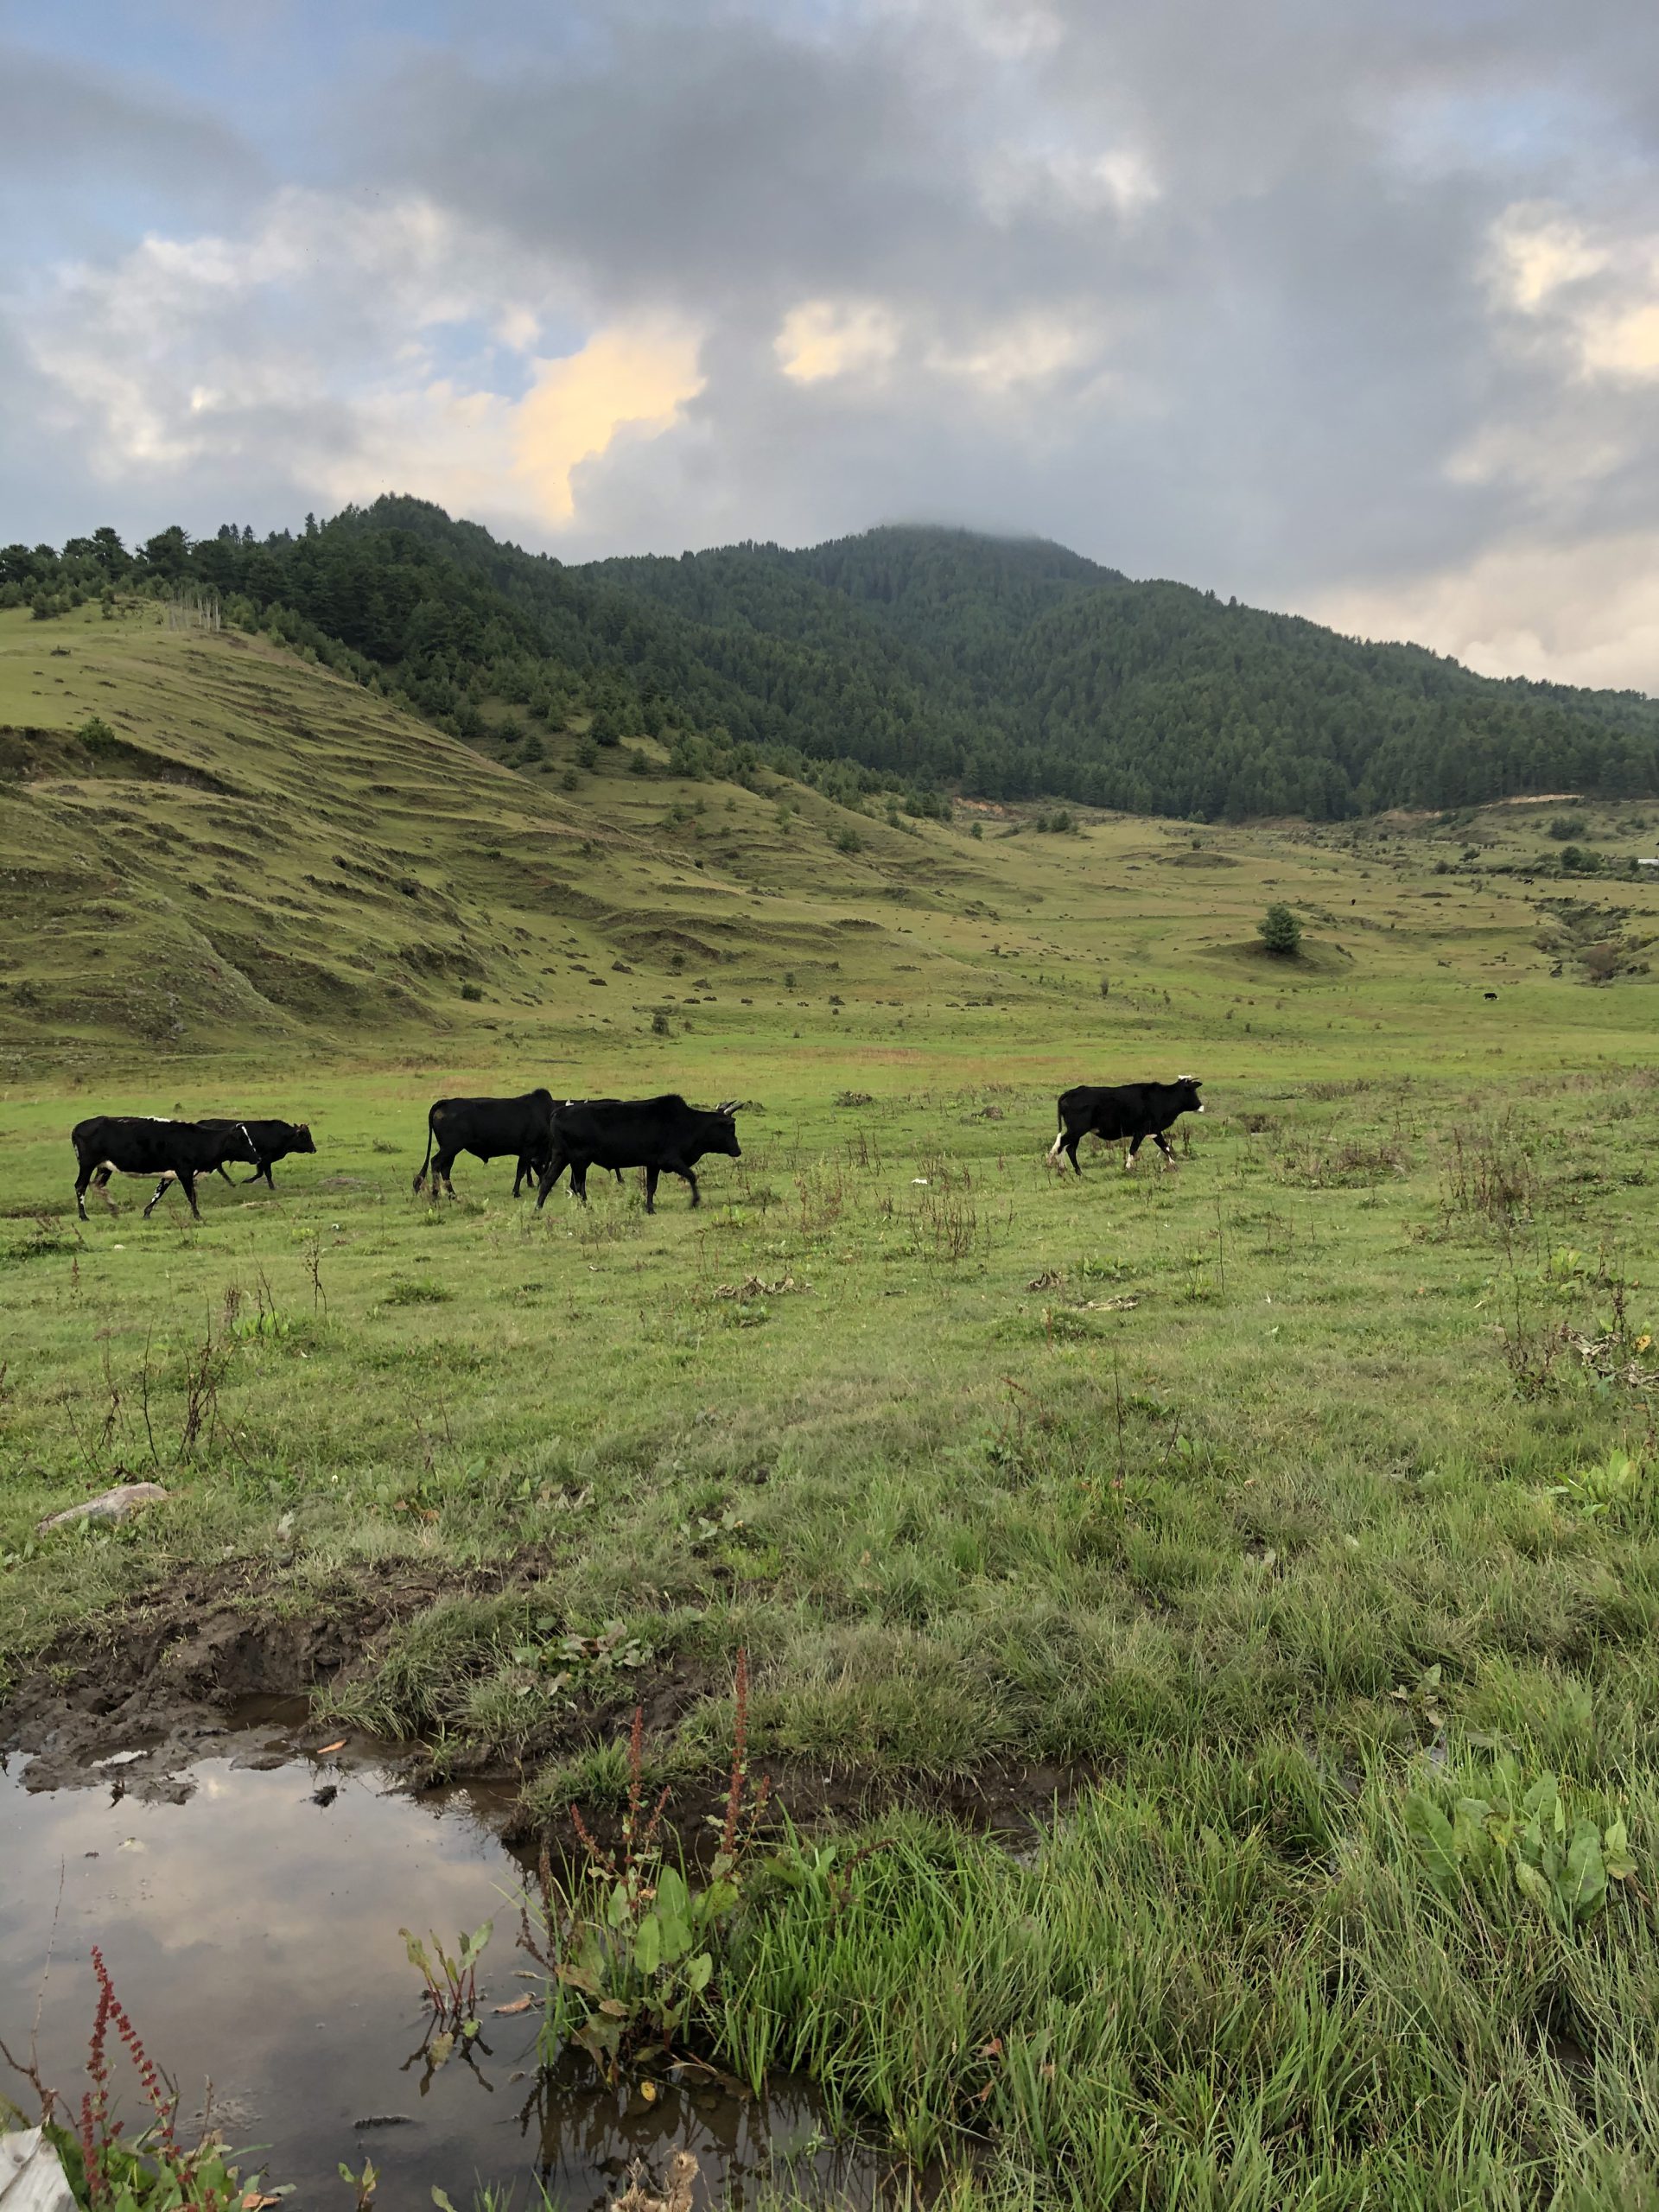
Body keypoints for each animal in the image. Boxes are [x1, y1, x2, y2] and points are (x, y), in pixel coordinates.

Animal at [70, 1123, 259, 1230]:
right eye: (242, 1139)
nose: (258, 1158)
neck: (198, 1141)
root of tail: (78, 1127)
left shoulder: (171, 1174)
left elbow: (158, 1193)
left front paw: (147, 1213)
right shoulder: (185, 1172)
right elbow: (192, 1196)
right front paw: (198, 1216)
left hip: (104, 1167)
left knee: (97, 1185)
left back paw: (114, 1210)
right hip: (87, 1165)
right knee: (81, 1186)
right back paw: (84, 1216)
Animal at [413, 1084, 559, 1194]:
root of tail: (446, 1102)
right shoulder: (529, 1149)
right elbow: (522, 1171)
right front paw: (516, 1192)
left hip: (451, 1150)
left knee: (445, 1169)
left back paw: (452, 1195)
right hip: (450, 1148)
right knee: (436, 1163)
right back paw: (435, 1194)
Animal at [535, 1088, 743, 1211]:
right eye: (731, 1127)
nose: (738, 1151)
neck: (689, 1123)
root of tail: (558, 1112)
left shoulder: (653, 1163)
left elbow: (651, 1186)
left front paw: (649, 1208)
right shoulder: (670, 1159)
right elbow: (691, 1176)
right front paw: (694, 1201)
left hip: (562, 1157)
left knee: (548, 1181)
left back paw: (538, 1209)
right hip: (579, 1160)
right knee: (578, 1186)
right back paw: (587, 1207)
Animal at [1052, 1075, 1211, 1176]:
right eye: (1193, 1091)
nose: (1201, 1106)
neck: (1163, 1098)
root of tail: (1071, 1092)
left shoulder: (1155, 1131)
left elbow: (1165, 1147)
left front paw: (1173, 1165)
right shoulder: (1141, 1131)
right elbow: (1133, 1149)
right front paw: (1128, 1168)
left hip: (1077, 1132)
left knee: (1070, 1149)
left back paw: (1079, 1172)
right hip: (1076, 1130)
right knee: (1061, 1145)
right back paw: (1062, 1168)